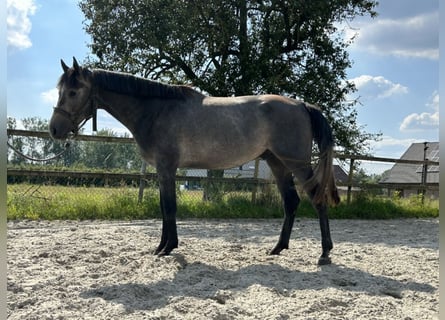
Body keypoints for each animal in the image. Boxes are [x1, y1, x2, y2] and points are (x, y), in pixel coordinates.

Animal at [49, 57, 340, 264]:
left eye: (73, 92)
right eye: (60, 89)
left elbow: (170, 208)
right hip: (277, 163)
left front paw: (167, 248)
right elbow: (164, 207)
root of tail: (302, 105)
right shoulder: (162, 171)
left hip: (298, 164)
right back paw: (277, 248)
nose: (54, 129)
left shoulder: (167, 168)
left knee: (317, 199)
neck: (156, 110)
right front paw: (161, 246)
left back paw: (325, 253)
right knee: (291, 202)